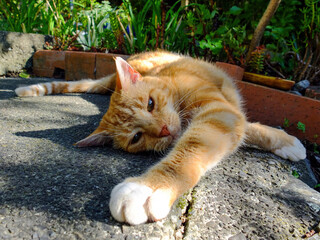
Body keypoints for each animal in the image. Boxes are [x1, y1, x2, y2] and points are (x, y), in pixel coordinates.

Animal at [14, 50, 304, 225]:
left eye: (151, 104)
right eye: (136, 137)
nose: (163, 130)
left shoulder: (221, 112)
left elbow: (236, 133)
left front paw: (149, 187)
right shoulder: (225, 116)